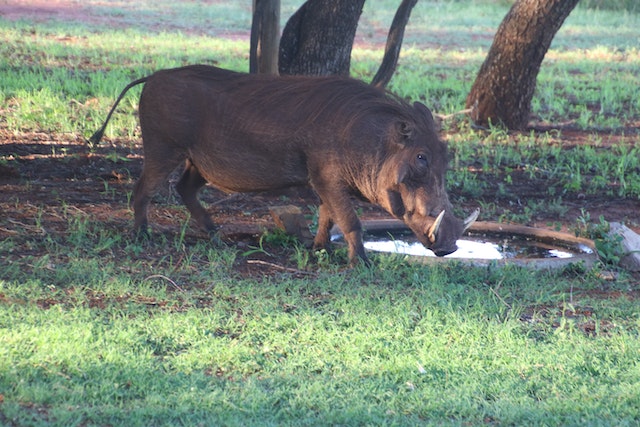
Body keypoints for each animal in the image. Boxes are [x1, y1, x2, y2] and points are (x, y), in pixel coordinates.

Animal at [90, 65, 478, 265]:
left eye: (446, 156)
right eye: (421, 158)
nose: (449, 247)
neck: (370, 141)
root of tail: (154, 76)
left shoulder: (325, 181)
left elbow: (327, 216)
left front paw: (319, 250)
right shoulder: (327, 179)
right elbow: (350, 221)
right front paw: (361, 263)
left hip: (199, 163)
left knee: (184, 189)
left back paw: (216, 235)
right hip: (163, 148)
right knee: (143, 190)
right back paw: (142, 234)